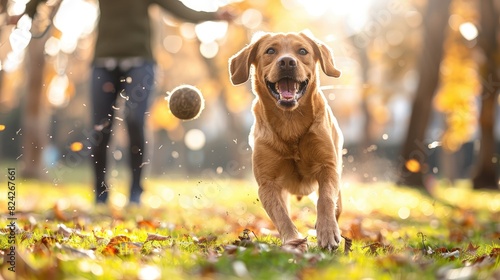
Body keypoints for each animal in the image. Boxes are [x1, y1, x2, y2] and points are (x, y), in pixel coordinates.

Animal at [229, 31, 344, 252]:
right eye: (270, 50)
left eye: (303, 51)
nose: (287, 62)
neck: (290, 123)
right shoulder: (268, 183)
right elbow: (281, 215)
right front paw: (293, 241)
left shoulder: (327, 167)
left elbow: (325, 199)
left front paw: (327, 232)